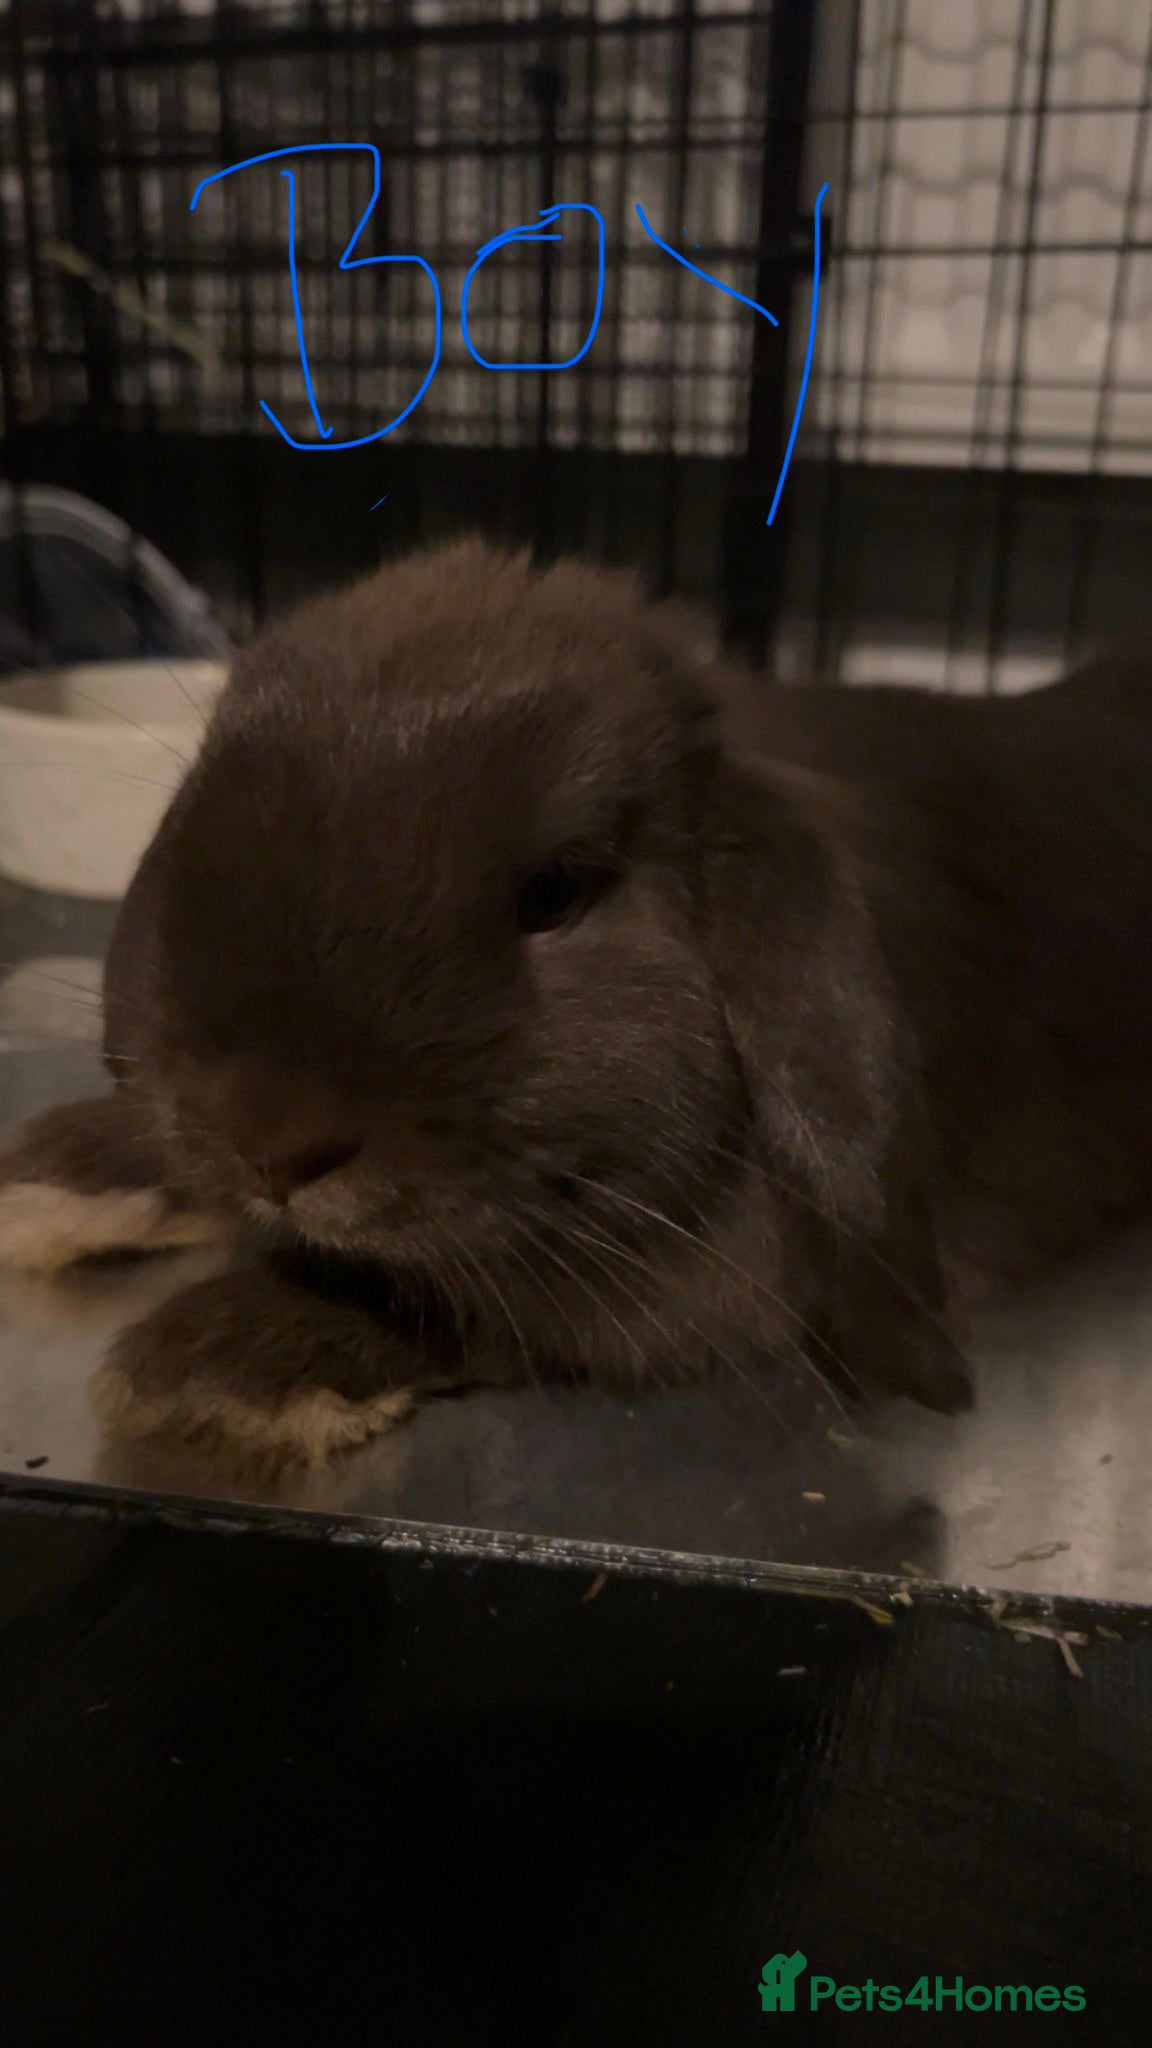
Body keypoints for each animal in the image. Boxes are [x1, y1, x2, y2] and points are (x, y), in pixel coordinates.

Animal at [2, 537, 1151, 1465]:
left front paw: (223, 1365)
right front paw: (60, 1170)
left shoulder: (703, 1291)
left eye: (553, 892)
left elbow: (497, 1302)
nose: (267, 1138)